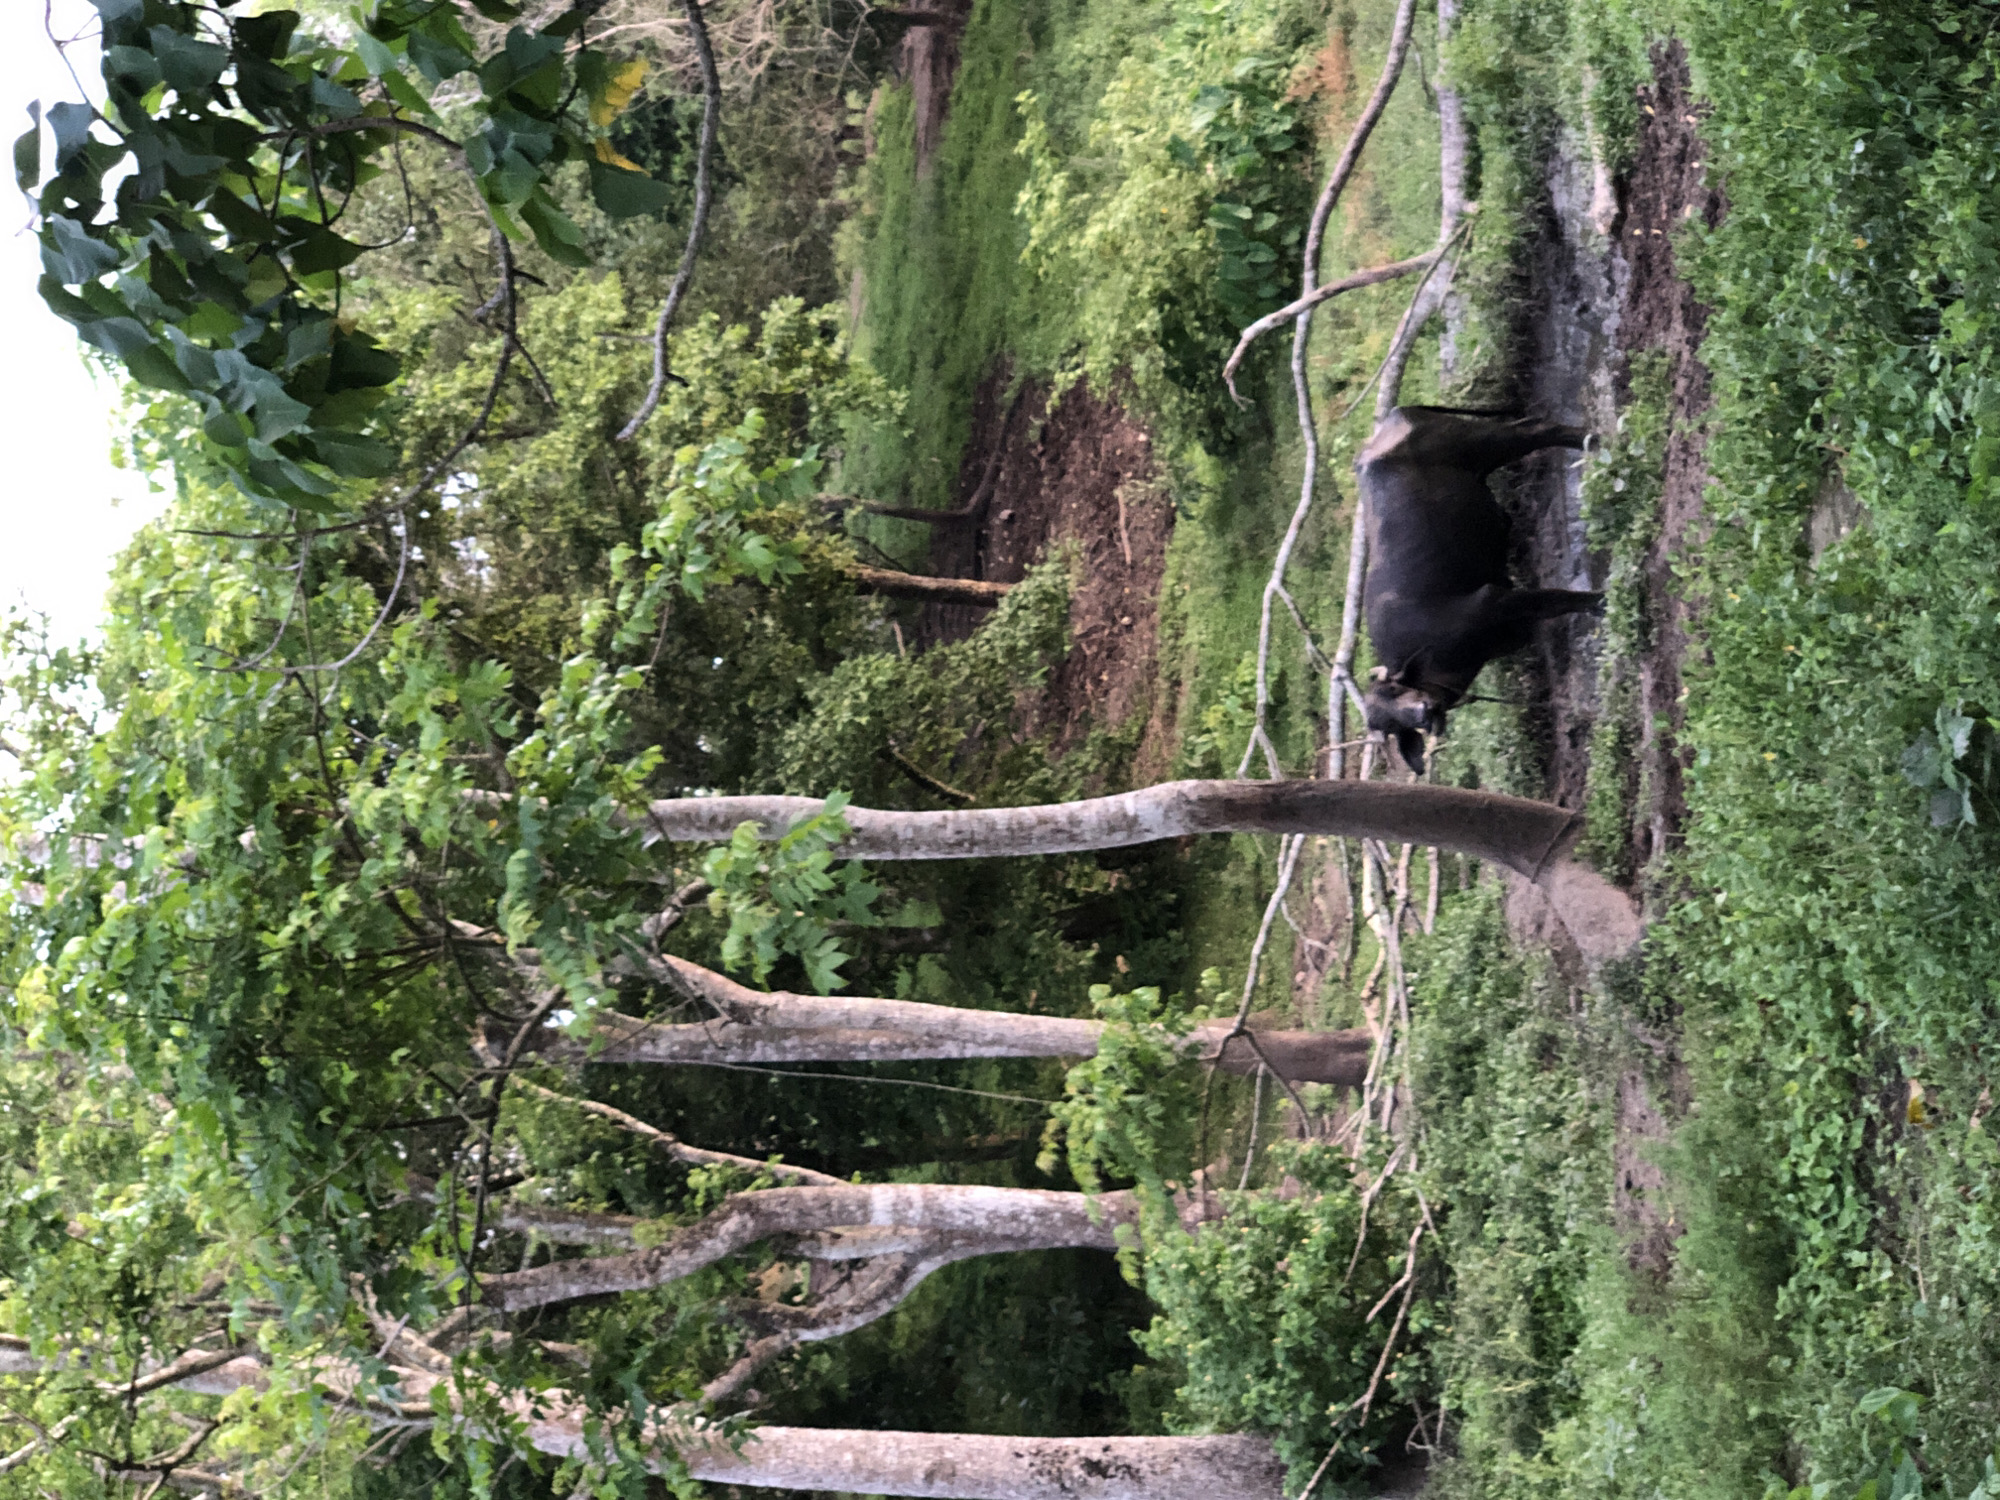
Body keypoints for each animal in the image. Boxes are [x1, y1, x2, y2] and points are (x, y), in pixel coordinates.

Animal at [1357, 406, 1601, 773]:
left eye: (1395, 691)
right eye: (1391, 725)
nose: (1424, 714)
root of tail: (1393, 420)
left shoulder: (1495, 600)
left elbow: (1559, 599)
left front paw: (1602, 601)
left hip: (1487, 443)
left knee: (1536, 429)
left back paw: (1594, 440)